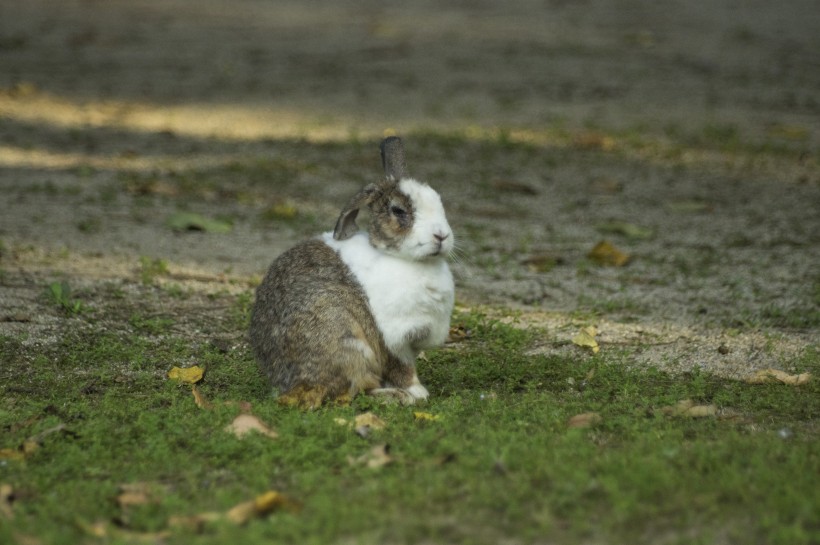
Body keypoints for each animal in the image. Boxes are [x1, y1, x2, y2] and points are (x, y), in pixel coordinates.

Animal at [248, 137, 454, 408]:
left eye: (439, 202)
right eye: (398, 211)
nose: (441, 235)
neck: (405, 259)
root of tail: (294, 386)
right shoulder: (393, 337)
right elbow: (402, 369)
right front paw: (418, 392)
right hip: (350, 345)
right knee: (348, 393)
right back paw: (397, 396)